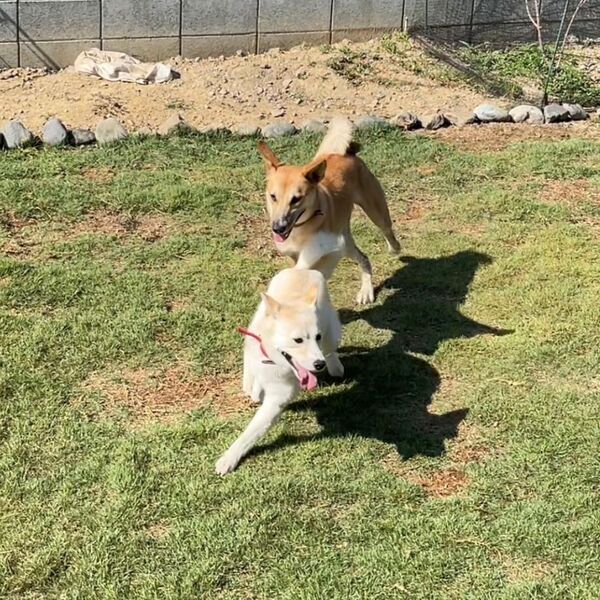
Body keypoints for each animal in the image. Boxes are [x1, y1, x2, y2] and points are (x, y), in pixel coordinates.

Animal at [216, 268, 343, 475]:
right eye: (298, 340)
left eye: (316, 337)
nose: (319, 364)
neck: (273, 361)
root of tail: (303, 269)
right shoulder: (252, 348)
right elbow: (252, 382)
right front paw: (253, 387)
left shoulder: (277, 399)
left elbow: (250, 433)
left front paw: (229, 458)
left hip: (332, 335)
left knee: (331, 349)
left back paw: (335, 366)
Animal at [257, 117, 401, 304]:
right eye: (273, 196)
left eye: (296, 199)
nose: (278, 228)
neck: (302, 228)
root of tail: (344, 153)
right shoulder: (293, 256)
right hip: (347, 241)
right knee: (363, 257)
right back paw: (366, 290)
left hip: (375, 210)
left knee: (386, 230)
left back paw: (393, 250)